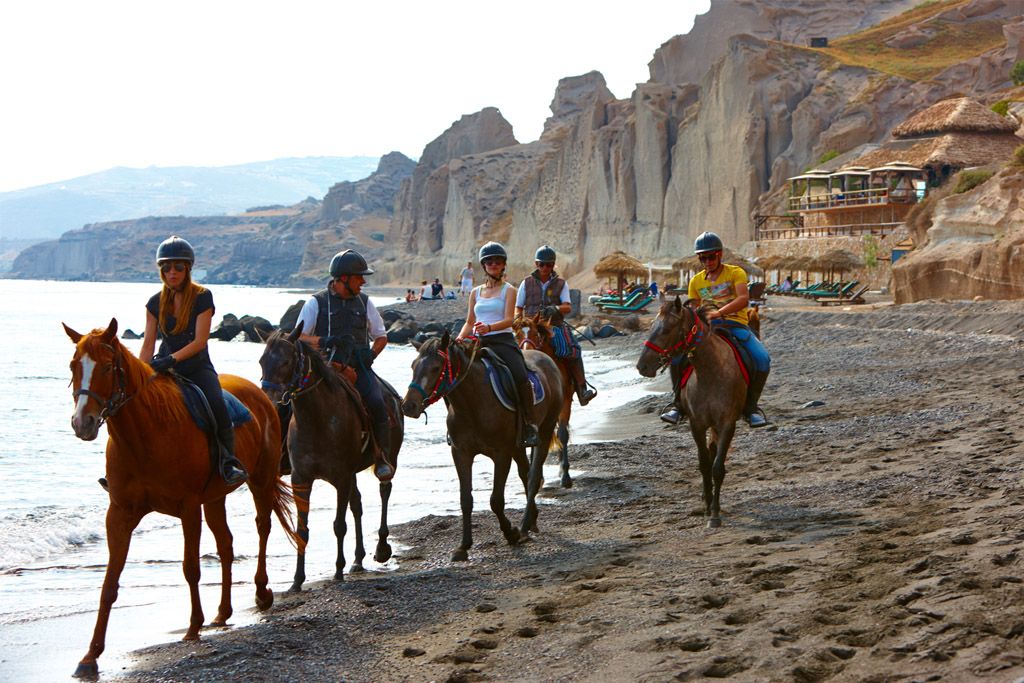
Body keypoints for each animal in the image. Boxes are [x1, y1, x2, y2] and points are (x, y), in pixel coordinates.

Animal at [64, 319, 299, 679]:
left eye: (105, 366)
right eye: (74, 366)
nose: (82, 423)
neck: (146, 433)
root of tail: (260, 394)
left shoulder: (188, 508)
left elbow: (191, 568)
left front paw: (192, 627)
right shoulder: (119, 514)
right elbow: (109, 582)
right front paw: (90, 657)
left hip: (260, 480)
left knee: (262, 527)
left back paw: (261, 592)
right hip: (215, 498)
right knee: (226, 544)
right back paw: (223, 612)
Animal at [258, 325, 401, 593]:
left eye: (285, 361)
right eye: (262, 361)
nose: (269, 400)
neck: (317, 420)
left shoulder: (341, 478)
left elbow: (338, 525)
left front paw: (337, 570)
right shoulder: (301, 479)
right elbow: (302, 529)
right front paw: (297, 580)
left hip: (389, 459)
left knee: (384, 490)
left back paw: (381, 548)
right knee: (357, 504)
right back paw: (358, 560)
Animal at [399, 331, 565, 561]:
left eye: (436, 367)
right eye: (413, 366)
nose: (408, 406)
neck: (473, 403)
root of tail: (547, 359)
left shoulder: (501, 454)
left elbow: (496, 500)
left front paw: (511, 533)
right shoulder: (461, 453)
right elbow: (465, 499)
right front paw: (463, 546)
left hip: (545, 430)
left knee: (533, 477)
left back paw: (523, 527)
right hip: (518, 446)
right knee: (525, 473)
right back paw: (532, 520)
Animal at [520, 317, 577, 491]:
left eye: (535, 333)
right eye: (517, 334)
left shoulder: (565, 403)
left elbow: (563, 434)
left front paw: (565, 475)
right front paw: (539, 478)